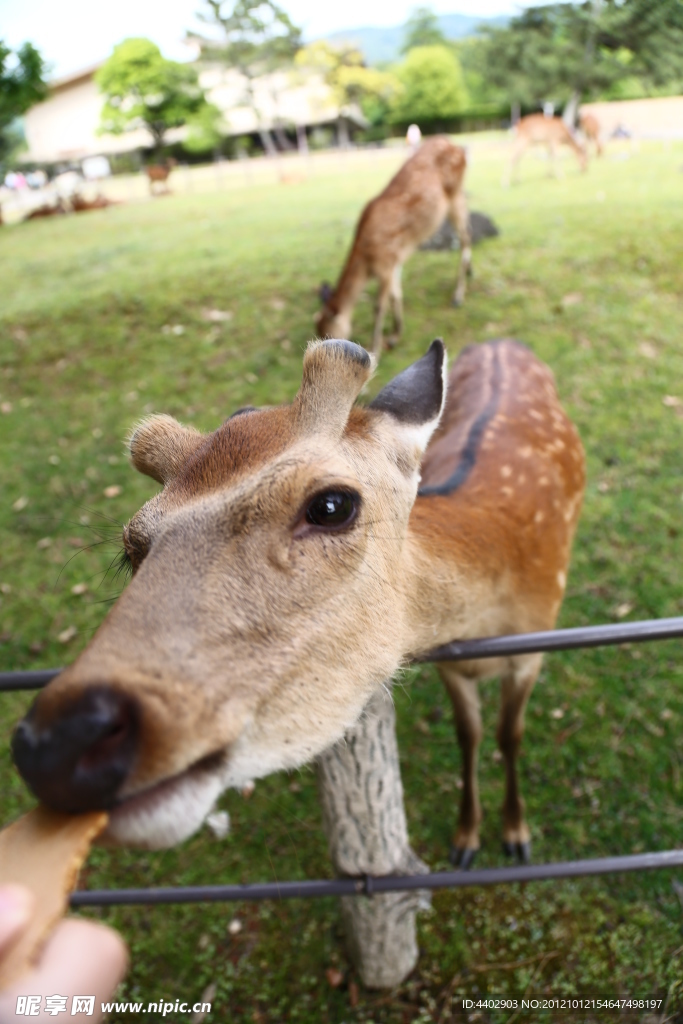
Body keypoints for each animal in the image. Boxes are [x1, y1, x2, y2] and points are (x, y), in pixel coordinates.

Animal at [13, 335, 585, 864]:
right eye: (132, 549)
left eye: (331, 505)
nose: (55, 743)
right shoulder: (451, 664)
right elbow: (469, 734)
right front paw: (468, 838)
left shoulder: (534, 649)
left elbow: (508, 735)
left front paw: (514, 835)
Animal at [317, 135, 473, 360]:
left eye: (327, 334)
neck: (367, 261)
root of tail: (457, 146)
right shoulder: (394, 261)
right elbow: (396, 295)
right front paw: (395, 336)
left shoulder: (384, 263)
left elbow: (379, 306)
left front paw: (376, 349)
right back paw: (470, 273)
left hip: (454, 194)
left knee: (465, 237)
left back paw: (458, 295)